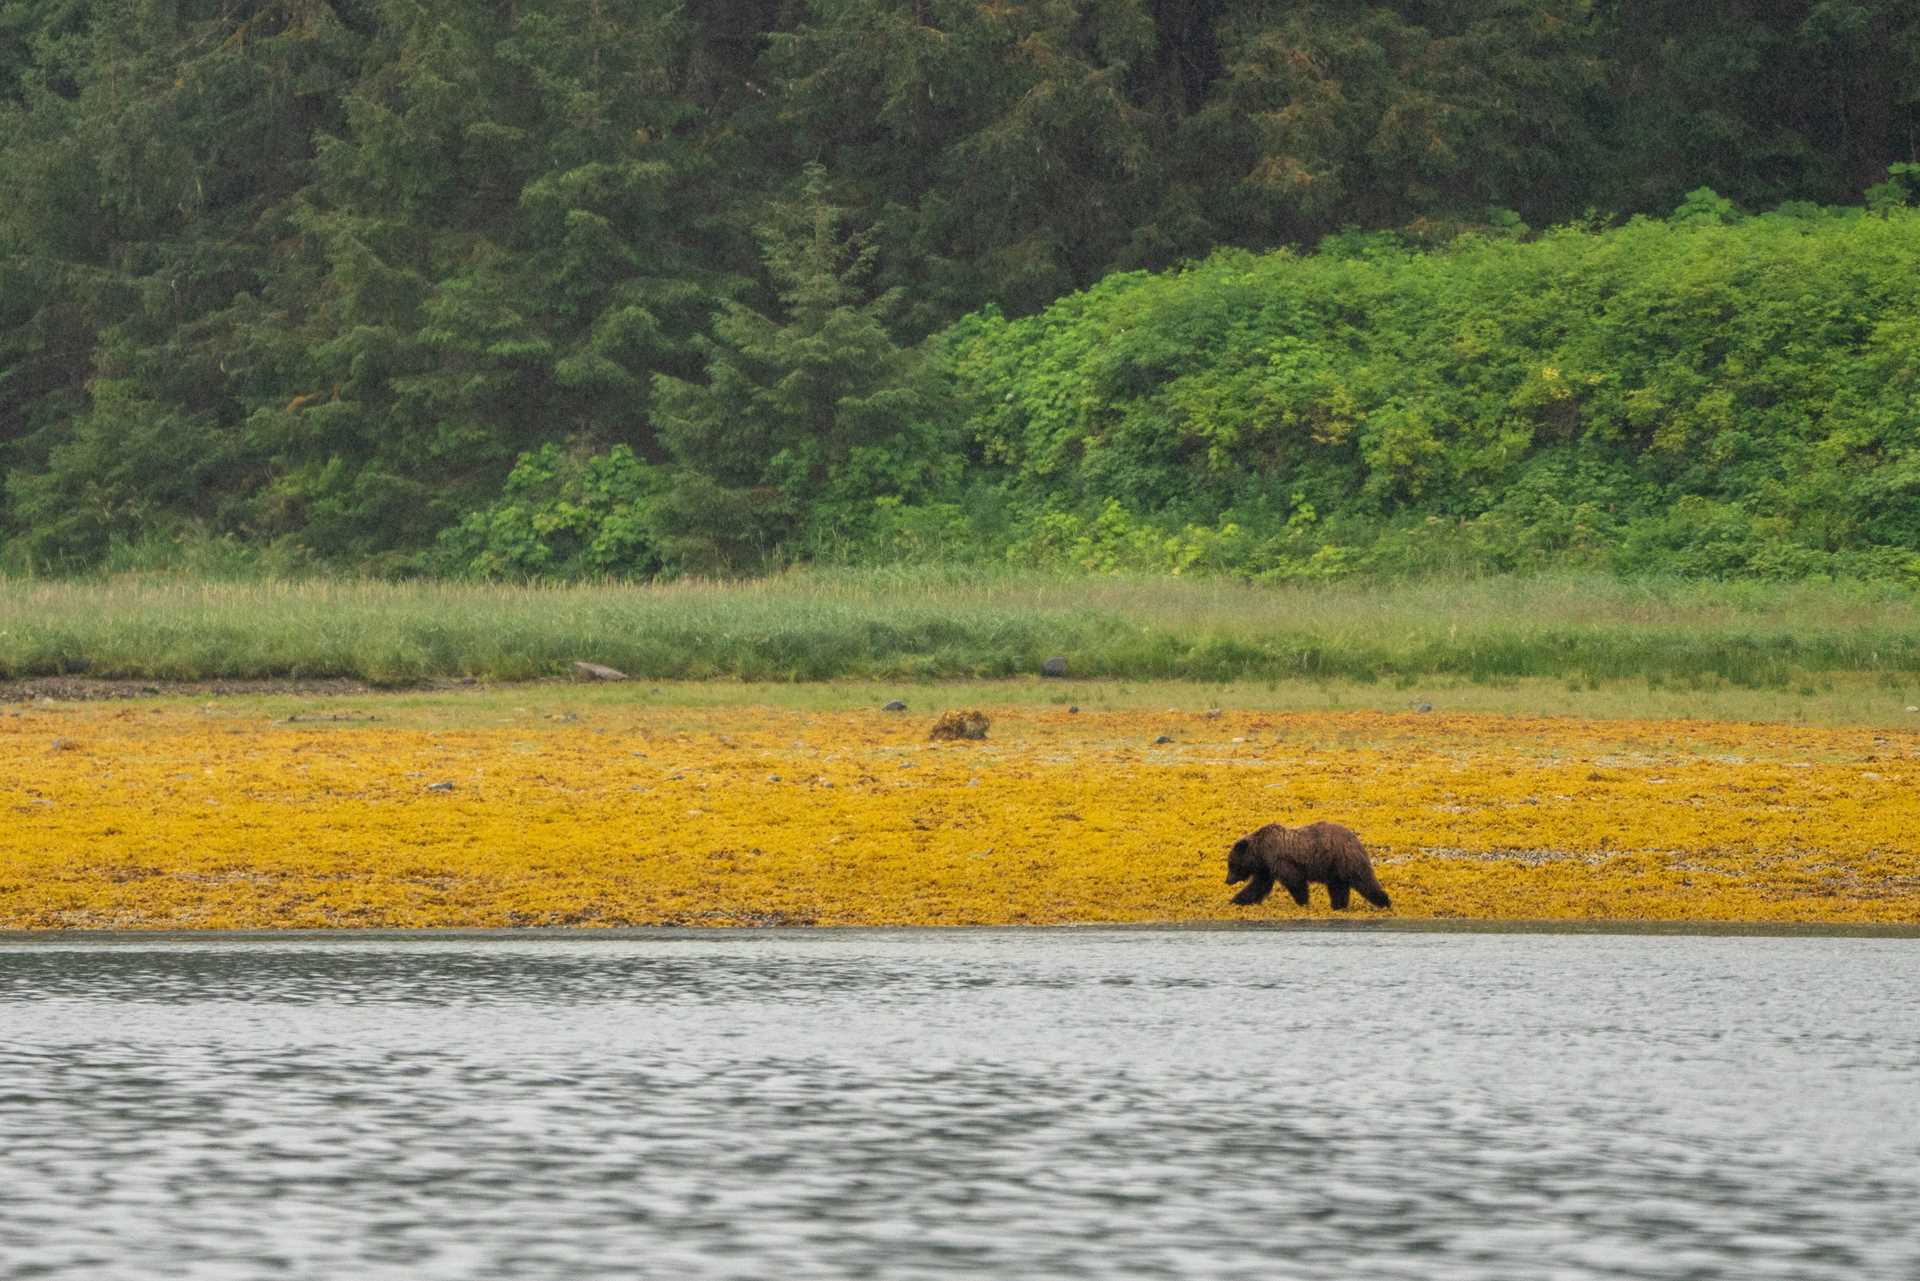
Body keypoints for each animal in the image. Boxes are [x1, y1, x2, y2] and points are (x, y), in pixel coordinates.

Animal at [1236, 821, 1390, 910]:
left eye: (1232, 865)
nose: (1230, 880)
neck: (1260, 850)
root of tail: (1355, 839)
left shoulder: (1280, 860)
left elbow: (1295, 882)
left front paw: (1303, 902)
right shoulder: (1267, 867)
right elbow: (1258, 885)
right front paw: (1237, 900)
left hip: (1345, 860)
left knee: (1364, 881)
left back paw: (1384, 902)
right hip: (1334, 868)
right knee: (1338, 887)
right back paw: (1338, 906)